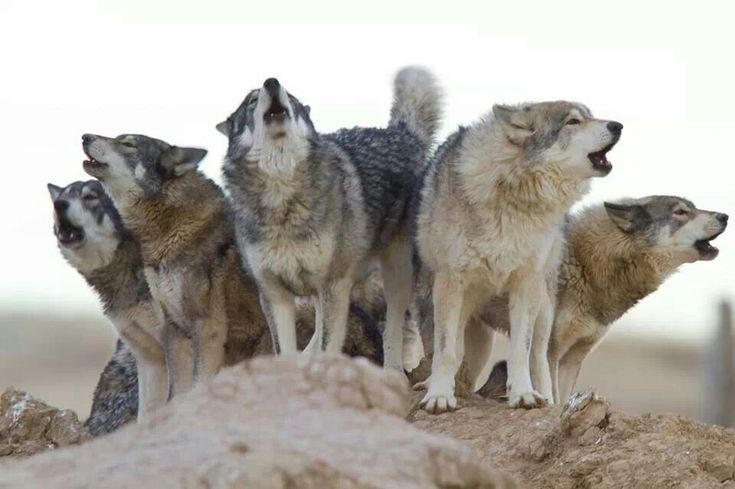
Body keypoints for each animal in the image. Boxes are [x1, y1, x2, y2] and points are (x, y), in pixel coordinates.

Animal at [80, 133, 268, 392]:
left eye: (128, 144)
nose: (84, 137)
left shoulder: (207, 327)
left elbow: (199, 383)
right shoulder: (175, 330)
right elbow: (175, 392)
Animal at [218, 66, 442, 370]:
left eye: (291, 97)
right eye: (252, 100)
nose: (272, 83)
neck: (281, 196)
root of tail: (402, 134)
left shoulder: (332, 285)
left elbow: (329, 346)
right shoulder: (275, 294)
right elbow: (285, 351)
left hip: (395, 275)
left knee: (393, 331)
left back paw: (393, 370)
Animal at [414, 101, 620, 410]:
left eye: (591, 116)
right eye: (573, 121)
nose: (618, 125)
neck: (514, 190)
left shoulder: (525, 284)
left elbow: (520, 353)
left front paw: (522, 394)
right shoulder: (449, 283)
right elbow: (445, 351)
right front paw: (439, 396)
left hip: (543, 306)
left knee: (540, 359)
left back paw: (546, 400)